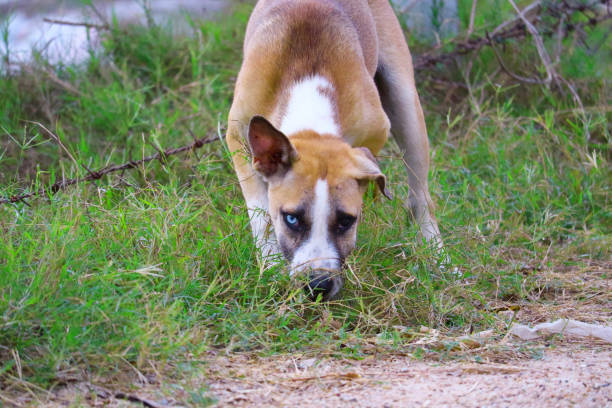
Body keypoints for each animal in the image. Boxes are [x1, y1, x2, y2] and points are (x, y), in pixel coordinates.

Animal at [227, 0, 442, 300]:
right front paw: (270, 266)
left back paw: (437, 256)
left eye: (345, 222)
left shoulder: (374, 132)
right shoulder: (237, 136)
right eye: (291, 219)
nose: (318, 285)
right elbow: (261, 214)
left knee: (420, 197)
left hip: (406, 104)